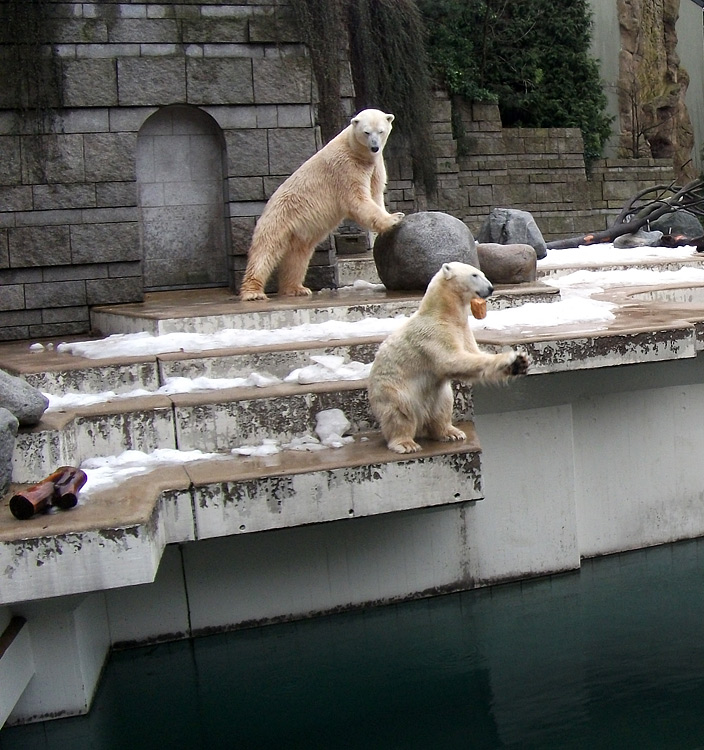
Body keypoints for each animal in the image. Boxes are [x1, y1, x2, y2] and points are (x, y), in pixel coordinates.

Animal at [239, 109, 404, 302]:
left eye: (381, 131)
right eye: (366, 132)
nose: (375, 147)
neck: (355, 150)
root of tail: (267, 208)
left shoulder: (375, 166)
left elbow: (376, 193)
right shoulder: (346, 168)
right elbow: (357, 199)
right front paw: (395, 218)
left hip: (298, 234)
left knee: (297, 258)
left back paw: (297, 288)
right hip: (279, 218)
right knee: (265, 253)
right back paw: (253, 293)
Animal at [368, 262, 528, 456]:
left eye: (482, 273)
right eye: (475, 275)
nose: (491, 288)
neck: (443, 313)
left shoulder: (463, 330)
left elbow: (473, 353)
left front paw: (519, 363)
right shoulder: (433, 333)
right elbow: (453, 360)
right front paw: (511, 359)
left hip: (437, 395)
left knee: (443, 405)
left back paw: (451, 432)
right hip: (392, 391)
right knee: (400, 412)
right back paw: (406, 443)